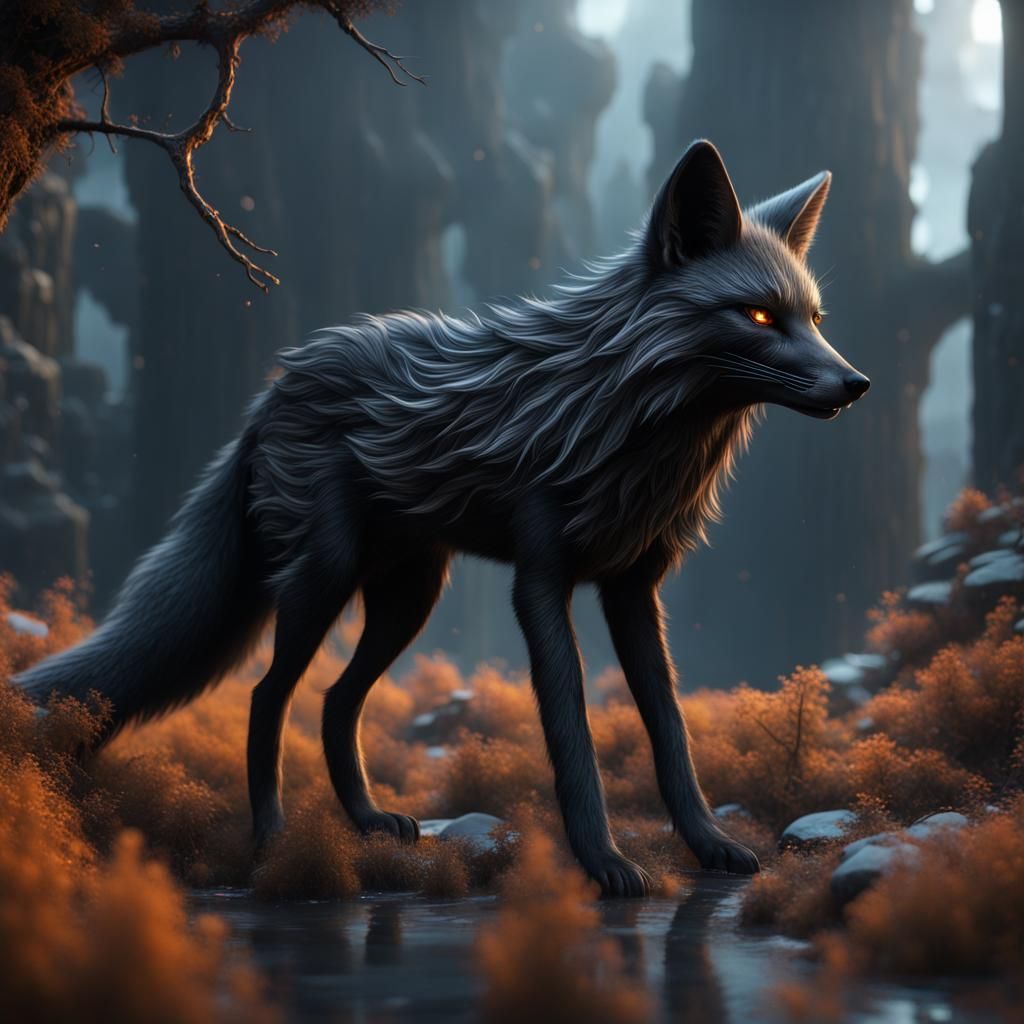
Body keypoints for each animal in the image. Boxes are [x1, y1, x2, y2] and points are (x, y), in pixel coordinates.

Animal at [16, 140, 869, 897]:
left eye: (814, 317)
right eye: (758, 316)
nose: (857, 383)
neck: (623, 423)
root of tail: (276, 387)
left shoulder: (634, 590)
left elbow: (670, 732)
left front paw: (708, 845)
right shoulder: (540, 584)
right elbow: (572, 736)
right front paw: (604, 864)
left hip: (409, 598)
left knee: (335, 701)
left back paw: (367, 823)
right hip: (323, 580)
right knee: (268, 696)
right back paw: (275, 842)